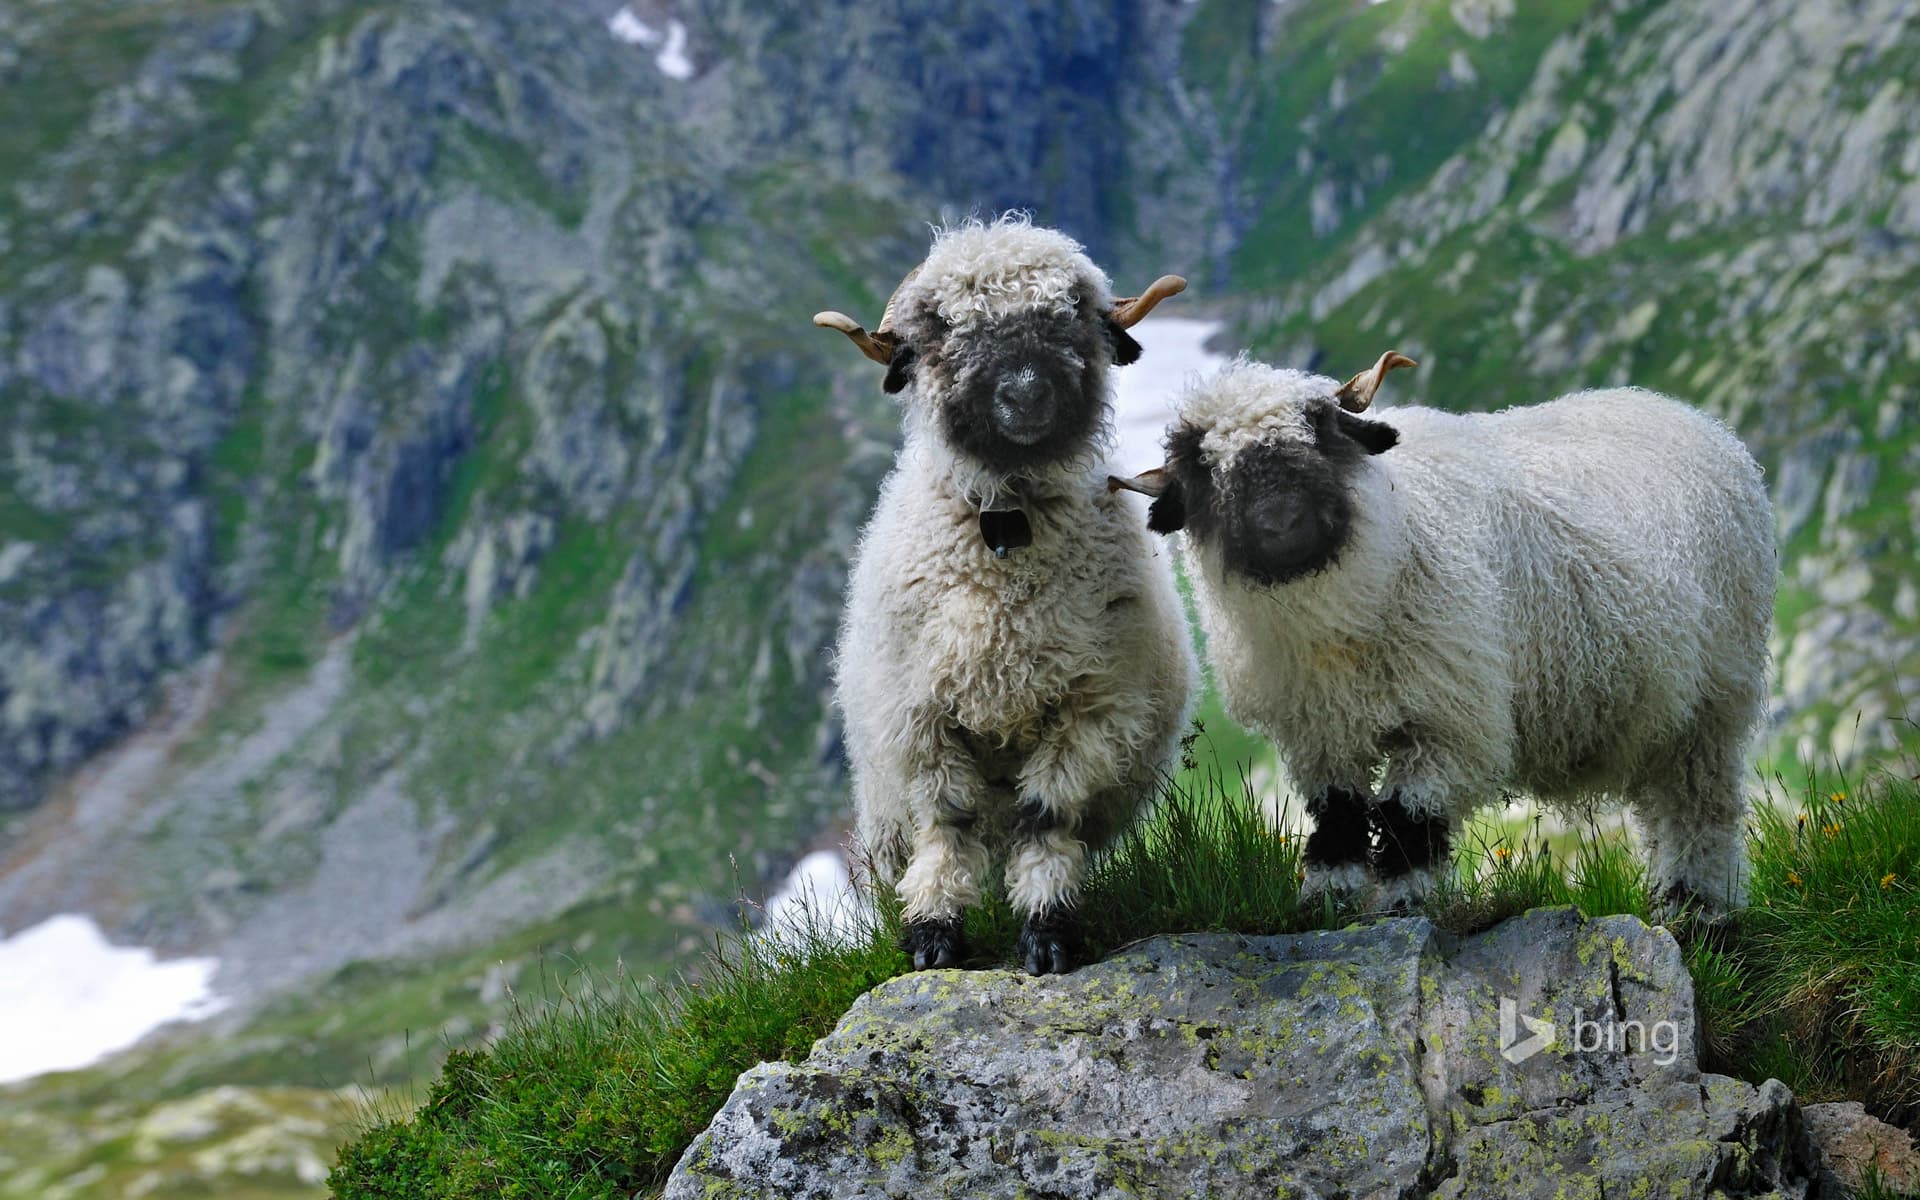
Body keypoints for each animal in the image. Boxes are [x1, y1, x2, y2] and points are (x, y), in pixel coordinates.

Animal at [816, 218, 1196, 974]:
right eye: (942, 327)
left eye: (1070, 314)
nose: (1025, 392)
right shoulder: (920, 720)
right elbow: (946, 822)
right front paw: (933, 932)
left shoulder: (1091, 711)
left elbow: (1045, 819)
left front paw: (1047, 930)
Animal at [1112, 353, 1775, 915]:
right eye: (1204, 469)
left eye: (1320, 432)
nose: (1281, 524)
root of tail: (1685, 414)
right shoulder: (1316, 729)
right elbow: (1338, 811)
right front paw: (1328, 898)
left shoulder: (1452, 716)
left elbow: (1409, 815)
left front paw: (1405, 902)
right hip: (1659, 716)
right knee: (1663, 805)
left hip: (1716, 701)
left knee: (1700, 808)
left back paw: (1700, 905)